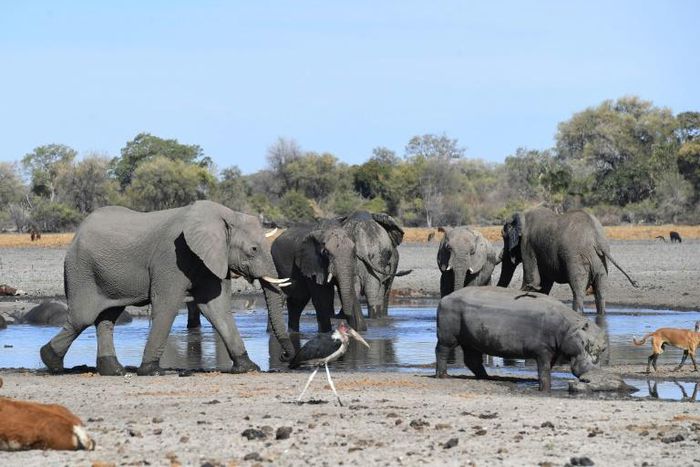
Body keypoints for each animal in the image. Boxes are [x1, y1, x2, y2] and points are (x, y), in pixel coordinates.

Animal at [40, 200, 295, 376]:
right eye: (253, 250)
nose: (285, 355)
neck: (224, 214)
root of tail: (76, 234)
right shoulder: (171, 257)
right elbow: (167, 305)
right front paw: (152, 371)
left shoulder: (209, 259)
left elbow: (216, 308)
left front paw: (248, 367)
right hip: (81, 270)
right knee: (82, 318)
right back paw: (51, 362)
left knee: (107, 319)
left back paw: (114, 371)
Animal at [435, 286, 607, 391]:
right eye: (587, 343)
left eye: (604, 348)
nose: (593, 372)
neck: (569, 327)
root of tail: (445, 298)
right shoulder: (543, 350)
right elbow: (544, 370)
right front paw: (545, 389)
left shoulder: (554, 351)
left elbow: (547, 369)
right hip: (448, 336)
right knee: (441, 351)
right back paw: (443, 376)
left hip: (471, 340)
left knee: (472, 360)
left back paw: (487, 377)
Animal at [497, 207, 638, 314]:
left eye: (503, 236)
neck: (523, 215)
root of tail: (596, 238)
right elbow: (544, 285)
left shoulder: (527, 245)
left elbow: (533, 281)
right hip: (600, 261)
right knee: (601, 292)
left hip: (576, 258)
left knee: (578, 290)